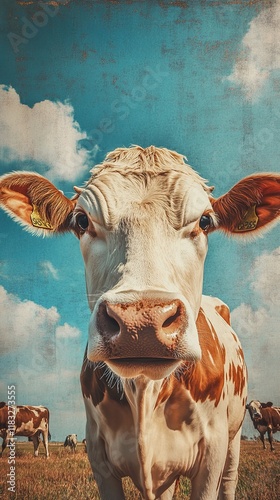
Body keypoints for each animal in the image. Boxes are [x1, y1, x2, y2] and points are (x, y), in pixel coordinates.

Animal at [0, 146, 278, 500]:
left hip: (233, 437)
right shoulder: (99, 457)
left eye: (205, 221)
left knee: (229, 480)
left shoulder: (212, 454)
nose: (140, 324)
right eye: (81, 220)